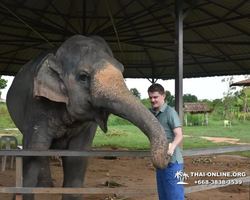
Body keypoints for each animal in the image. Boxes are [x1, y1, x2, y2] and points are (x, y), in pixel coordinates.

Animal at [6, 35, 170, 199]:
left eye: (122, 70)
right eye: (83, 77)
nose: (168, 156)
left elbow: (79, 152)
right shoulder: (37, 104)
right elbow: (35, 149)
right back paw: (44, 188)